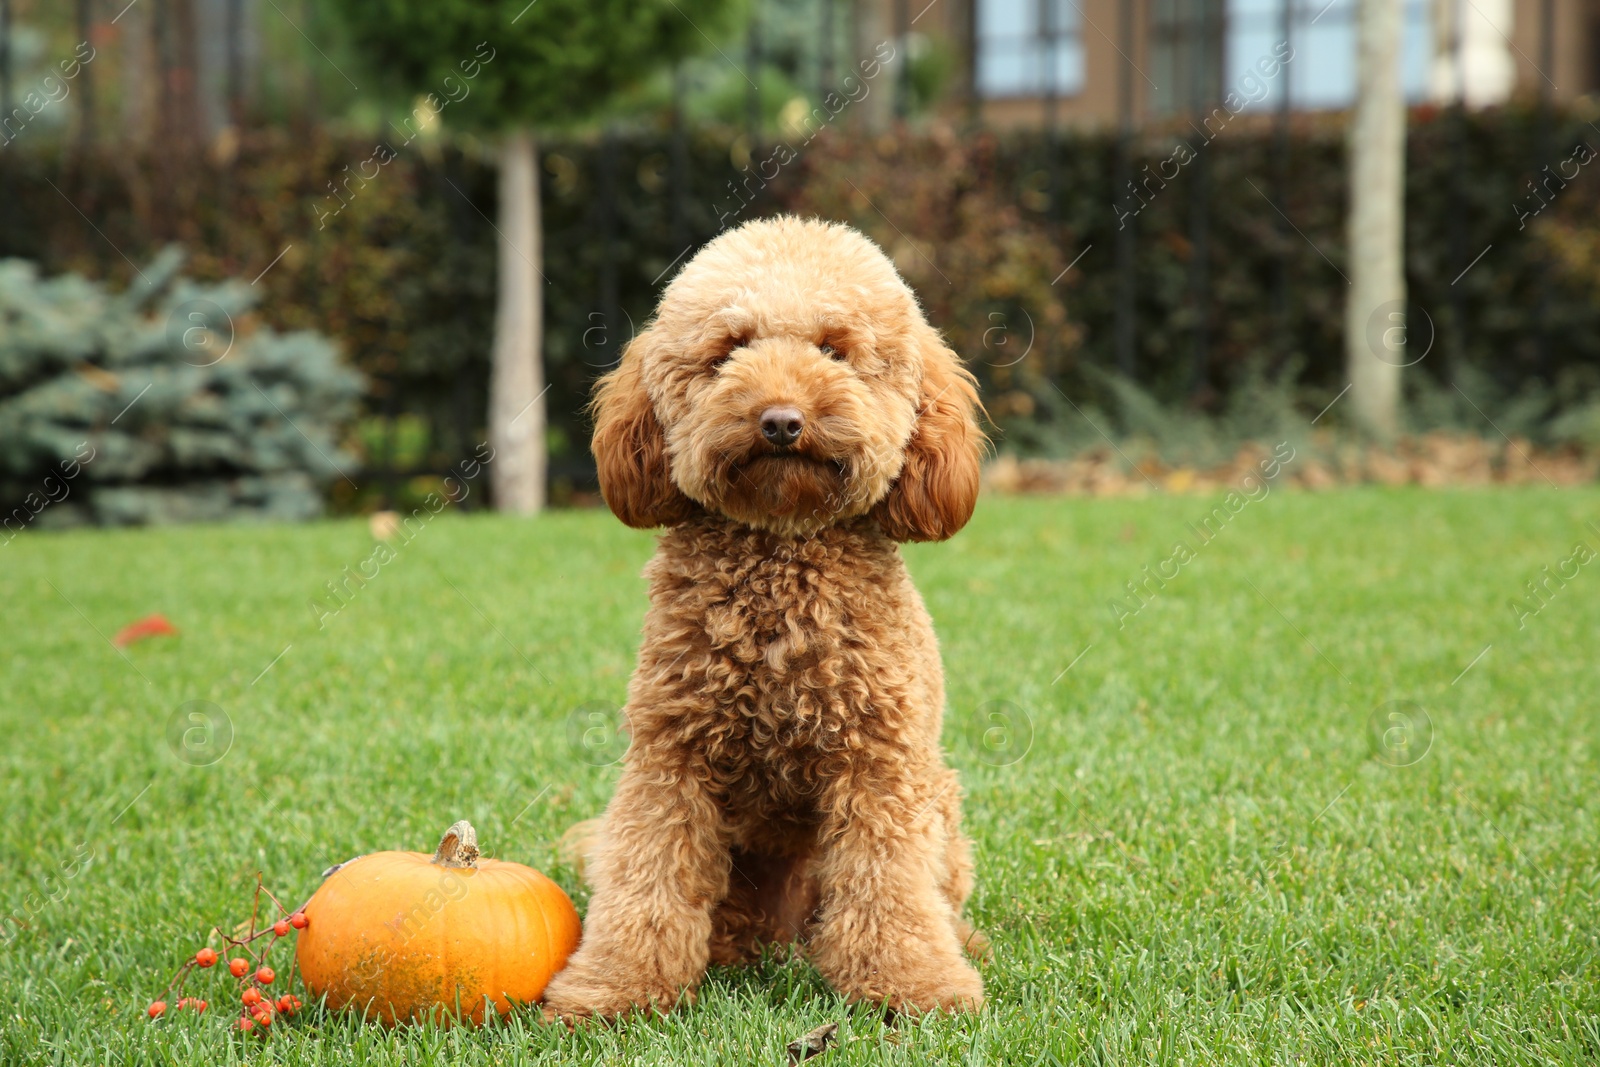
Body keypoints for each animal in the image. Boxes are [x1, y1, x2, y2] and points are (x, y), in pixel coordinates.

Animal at [540, 212, 985, 1023]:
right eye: (729, 350)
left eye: (835, 349)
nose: (781, 421)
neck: (780, 555)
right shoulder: (670, 758)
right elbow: (648, 876)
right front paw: (613, 988)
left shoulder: (880, 764)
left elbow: (889, 884)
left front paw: (915, 985)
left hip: (937, 803)